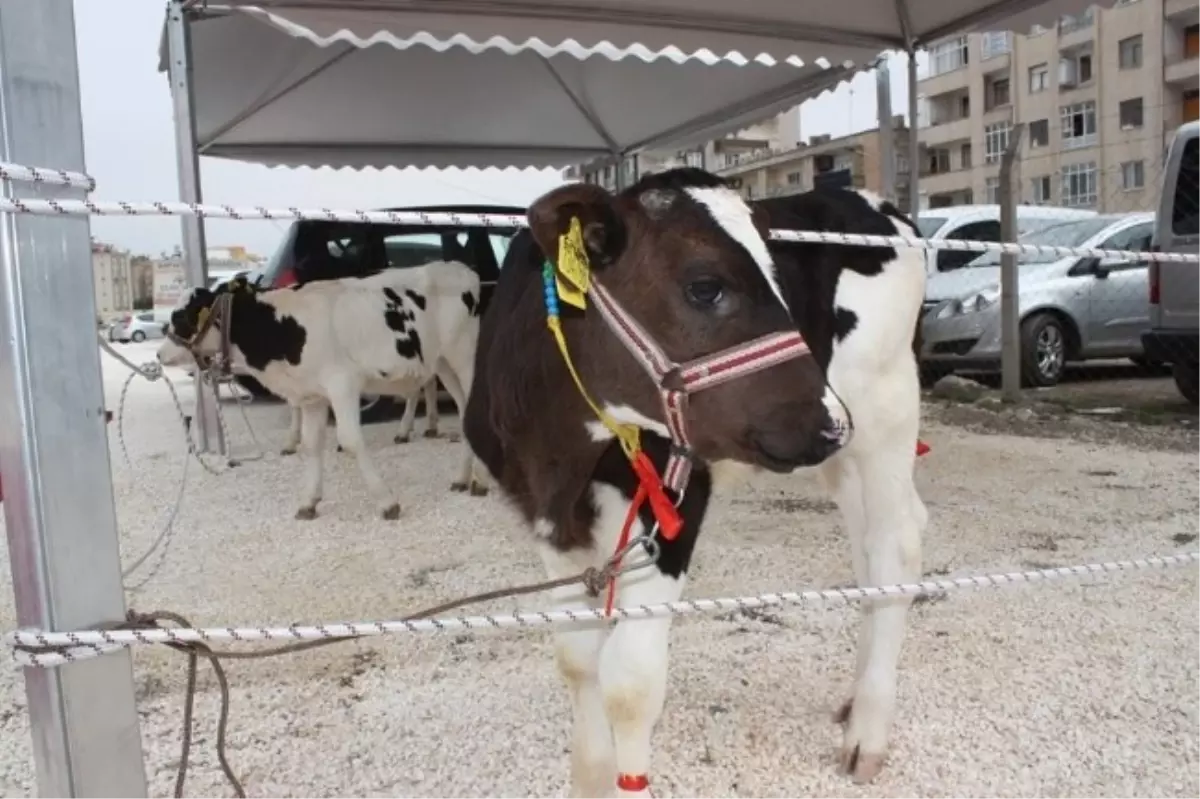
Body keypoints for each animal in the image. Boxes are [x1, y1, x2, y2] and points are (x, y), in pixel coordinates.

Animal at [159, 263, 487, 520]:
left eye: (182, 317)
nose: (159, 354)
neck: (283, 325)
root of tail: (460, 269)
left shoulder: (342, 384)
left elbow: (351, 440)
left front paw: (386, 502)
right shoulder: (313, 395)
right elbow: (311, 444)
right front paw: (309, 502)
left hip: (464, 356)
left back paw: (481, 481)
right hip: (442, 363)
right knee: (464, 410)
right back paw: (463, 478)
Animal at [460, 167, 926, 791]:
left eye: (777, 276)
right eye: (705, 286)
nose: (827, 421)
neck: (563, 458)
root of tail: (871, 201)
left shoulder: (672, 507)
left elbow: (630, 683)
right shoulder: (546, 516)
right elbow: (577, 658)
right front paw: (591, 778)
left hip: (885, 406)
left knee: (896, 546)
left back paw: (867, 732)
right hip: (847, 452)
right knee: (871, 546)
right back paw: (854, 701)